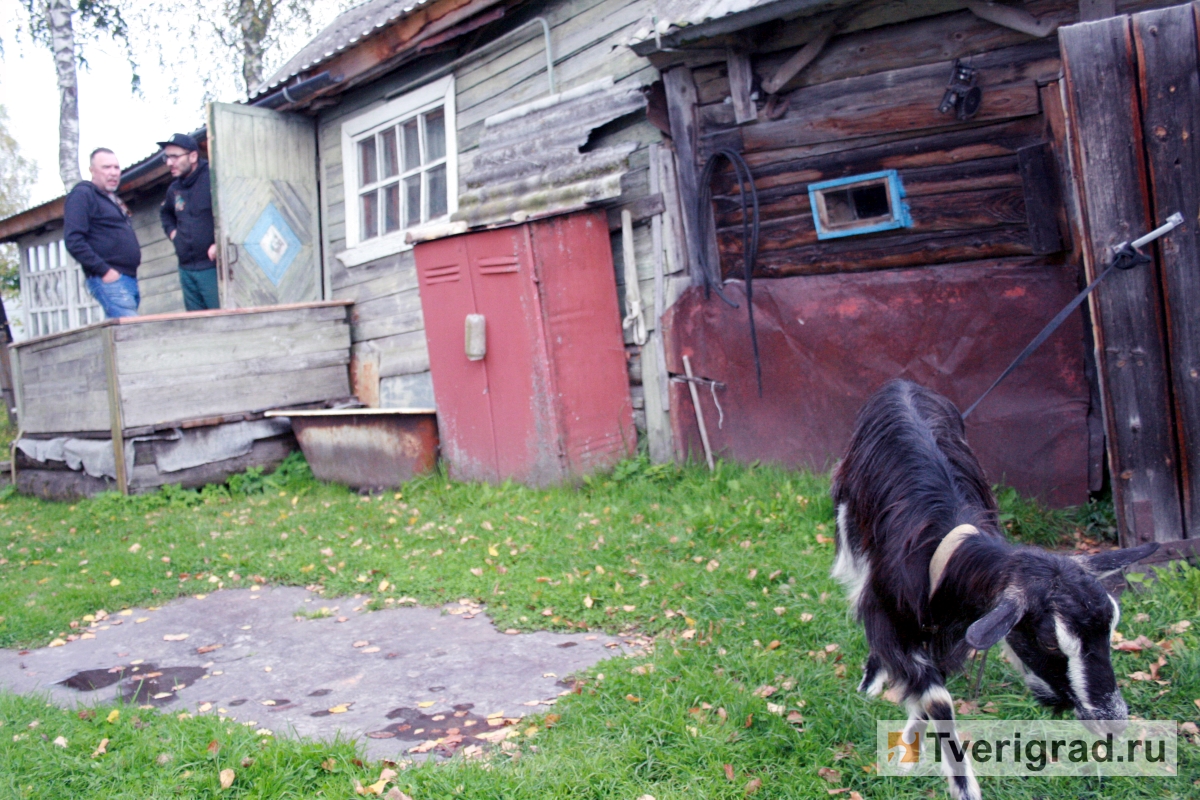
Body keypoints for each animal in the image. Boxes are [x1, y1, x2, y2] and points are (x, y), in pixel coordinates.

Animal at [835, 381, 1152, 800]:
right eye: (1048, 640)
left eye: (1111, 629)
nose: (1112, 720)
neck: (944, 548)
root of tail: (901, 385)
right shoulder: (889, 612)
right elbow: (936, 700)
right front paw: (961, 786)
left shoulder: (952, 627)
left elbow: (926, 694)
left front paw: (907, 752)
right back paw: (871, 681)